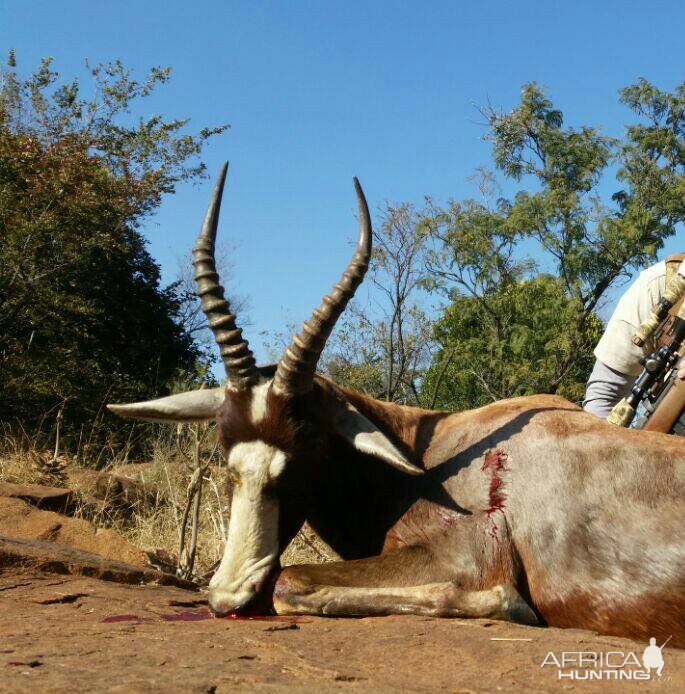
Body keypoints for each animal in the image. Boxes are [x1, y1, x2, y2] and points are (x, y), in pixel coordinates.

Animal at [109, 163, 684, 648]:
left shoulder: (474, 550)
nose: (230, 596)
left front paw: (510, 605)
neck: (426, 459)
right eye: (224, 449)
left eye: (306, 446)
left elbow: (290, 580)